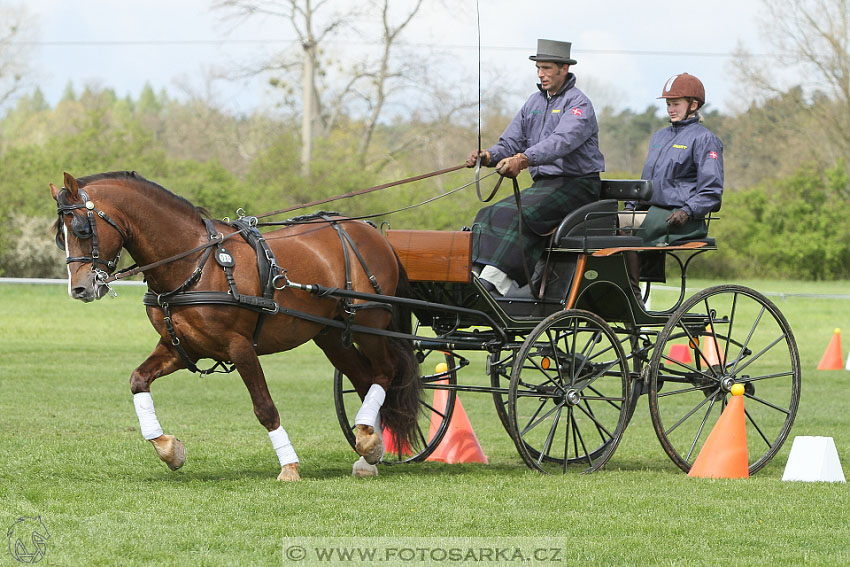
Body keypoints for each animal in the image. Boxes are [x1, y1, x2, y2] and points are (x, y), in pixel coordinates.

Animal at [49, 171, 420, 482]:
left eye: (81, 228)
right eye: (59, 236)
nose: (79, 289)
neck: (194, 262)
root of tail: (370, 231)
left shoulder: (239, 346)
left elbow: (264, 407)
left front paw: (289, 467)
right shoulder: (179, 347)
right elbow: (138, 380)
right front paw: (169, 449)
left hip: (369, 324)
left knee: (385, 371)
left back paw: (368, 444)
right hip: (329, 335)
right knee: (364, 379)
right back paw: (368, 449)